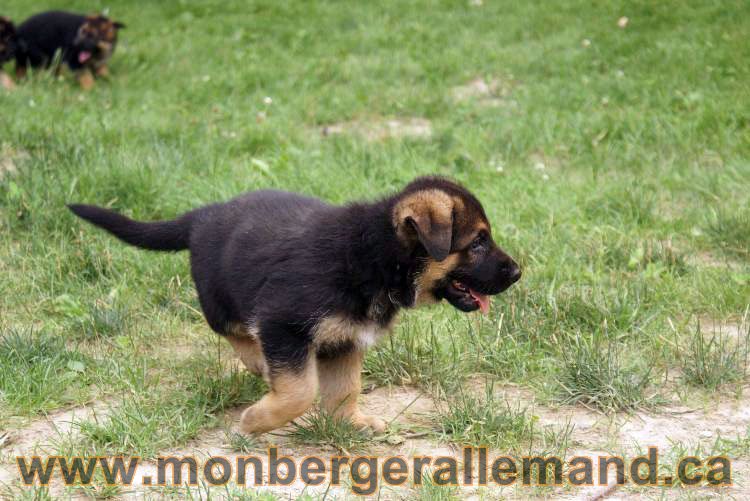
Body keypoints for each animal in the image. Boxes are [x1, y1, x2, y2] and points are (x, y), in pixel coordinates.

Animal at [69, 177, 524, 434]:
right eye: (478, 242)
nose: (519, 271)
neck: (374, 254)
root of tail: (203, 215)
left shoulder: (345, 340)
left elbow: (344, 389)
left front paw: (350, 424)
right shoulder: (283, 324)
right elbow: (301, 391)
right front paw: (256, 422)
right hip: (221, 299)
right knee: (232, 330)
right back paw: (258, 363)